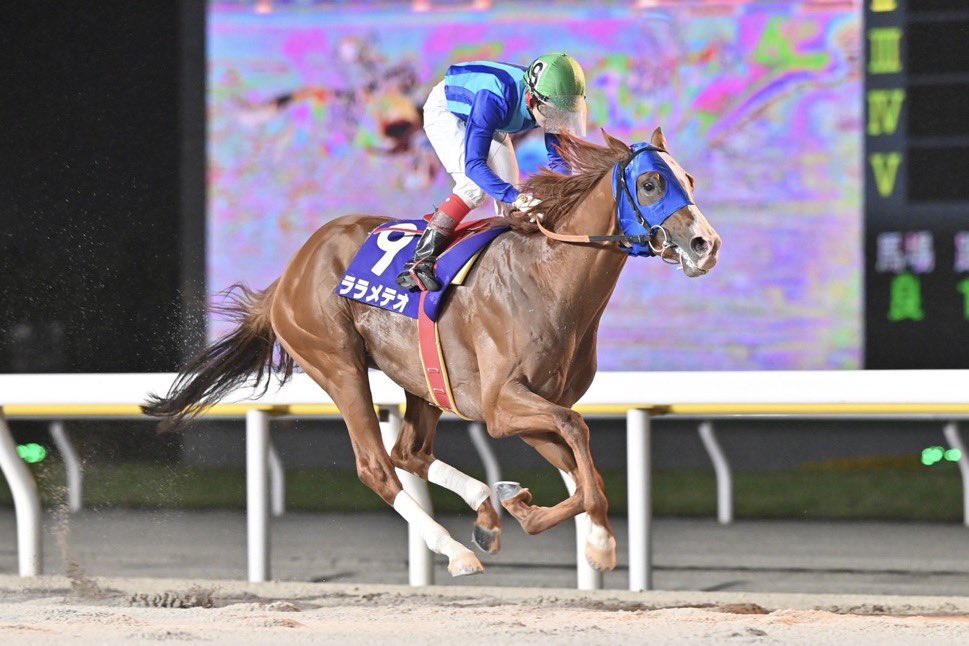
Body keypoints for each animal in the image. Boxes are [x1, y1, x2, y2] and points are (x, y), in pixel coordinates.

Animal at [144, 128, 721, 577]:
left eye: (689, 179)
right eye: (650, 183)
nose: (705, 244)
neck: (548, 276)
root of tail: (288, 276)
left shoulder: (531, 405)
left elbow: (582, 468)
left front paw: (524, 508)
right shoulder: (501, 404)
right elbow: (578, 438)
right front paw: (593, 539)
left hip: (420, 377)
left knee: (409, 452)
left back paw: (484, 510)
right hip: (336, 362)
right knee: (377, 465)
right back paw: (456, 550)